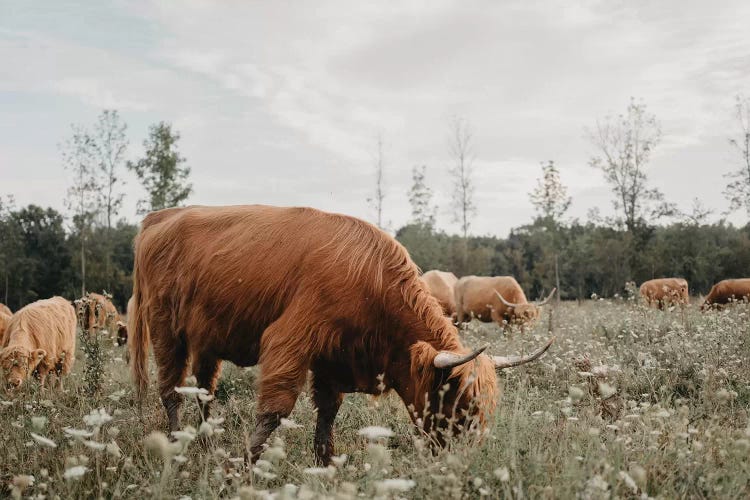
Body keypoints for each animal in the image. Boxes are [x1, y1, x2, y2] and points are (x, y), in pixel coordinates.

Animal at [128, 206, 552, 464]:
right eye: (458, 400)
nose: (465, 458)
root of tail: (161, 216)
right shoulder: (290, 339)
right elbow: (275, 409)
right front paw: (246, 464)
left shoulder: (333, 357)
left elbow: (328, 410)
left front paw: (325, 462)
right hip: (166, 328)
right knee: (171, 389)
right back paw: (178, 445)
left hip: (208, 336)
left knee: (204, 388)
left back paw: (207, 441)